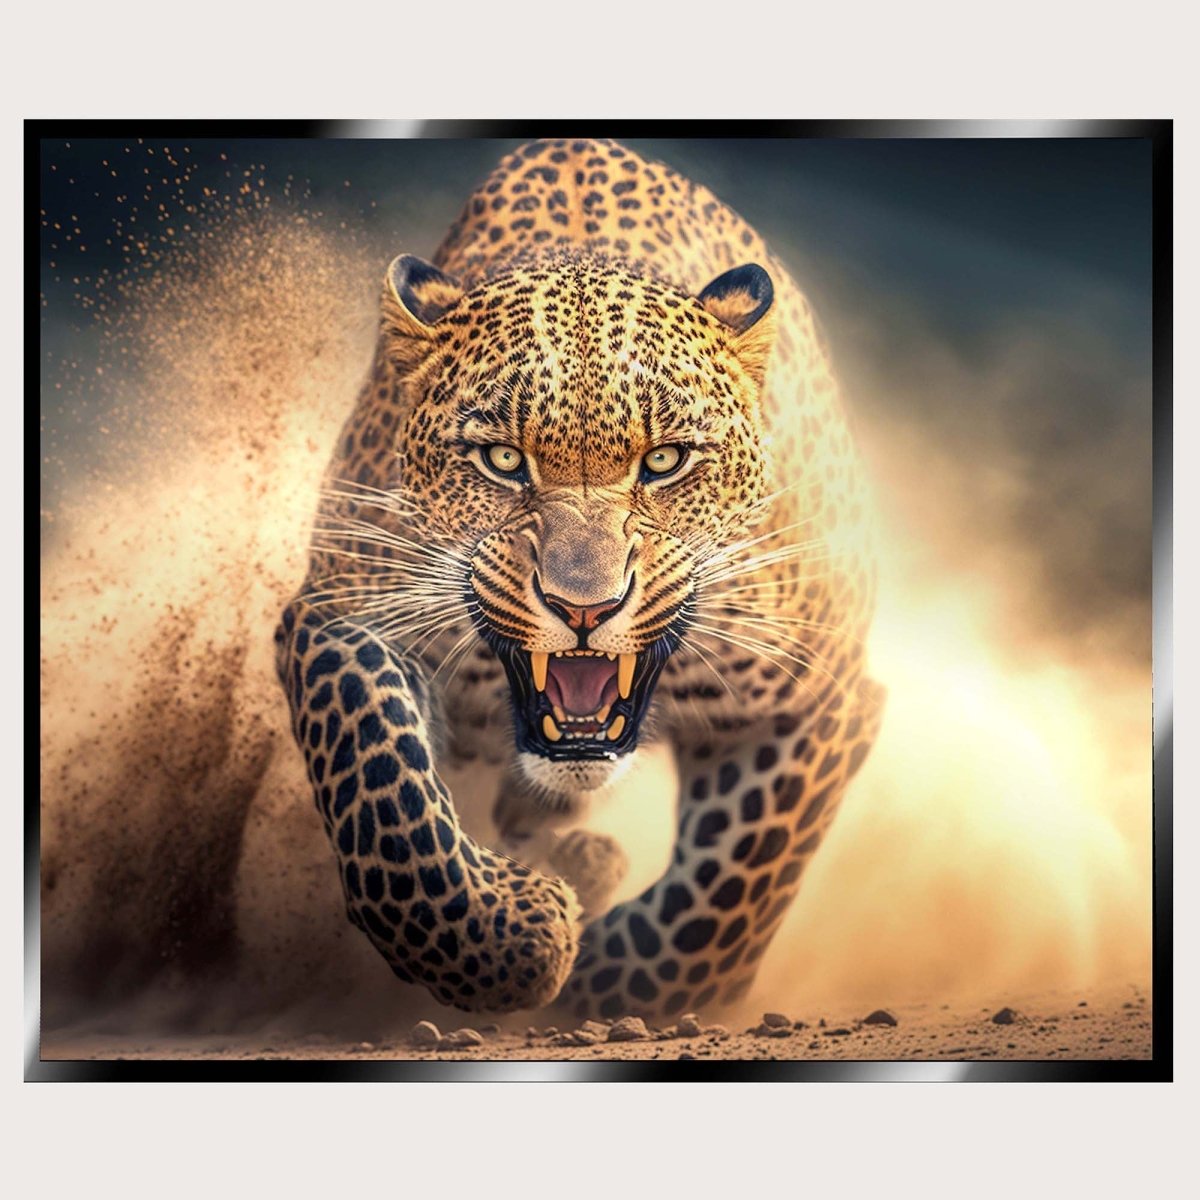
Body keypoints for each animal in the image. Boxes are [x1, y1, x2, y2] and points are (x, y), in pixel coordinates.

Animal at [275, 137, 885, 1020]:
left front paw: (599, 971)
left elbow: (729, 893)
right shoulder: (345, 611)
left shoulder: (820, 689)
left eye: (665, 460)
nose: (584, 608)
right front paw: (516, 933)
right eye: (502, 459)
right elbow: (384, 789)